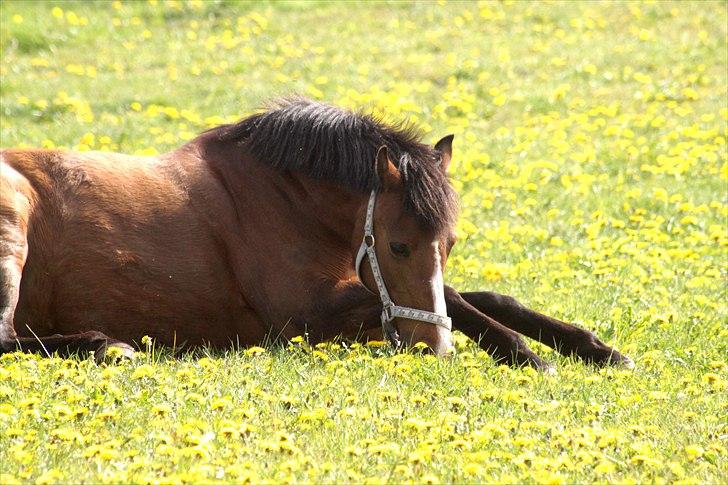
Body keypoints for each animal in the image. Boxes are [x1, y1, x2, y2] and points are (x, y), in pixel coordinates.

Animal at [0, 97, 632, 370]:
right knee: (7, 338)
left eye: (450, 245)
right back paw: (105, 345)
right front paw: (527, 355)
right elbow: (452, 302)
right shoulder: (310, 316)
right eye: (397, 244)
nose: (434, 347)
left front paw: (592, 348)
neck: (283, 197)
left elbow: (469, 295)